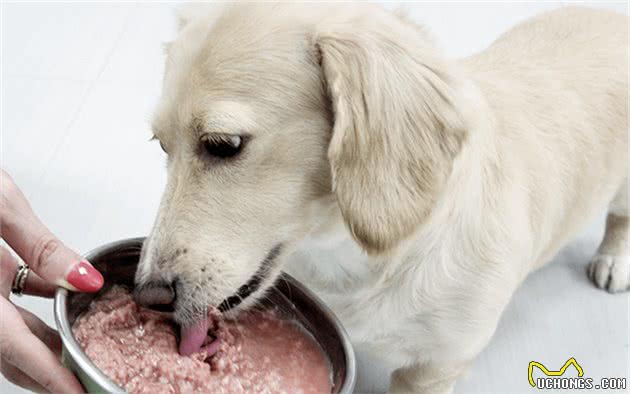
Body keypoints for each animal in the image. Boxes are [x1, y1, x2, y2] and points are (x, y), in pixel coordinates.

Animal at [132, 3, 628, 394]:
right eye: (161, 146)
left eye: (224, 144)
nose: (146, 295)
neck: (348, 257)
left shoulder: (434, 368)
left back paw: (613, 260)